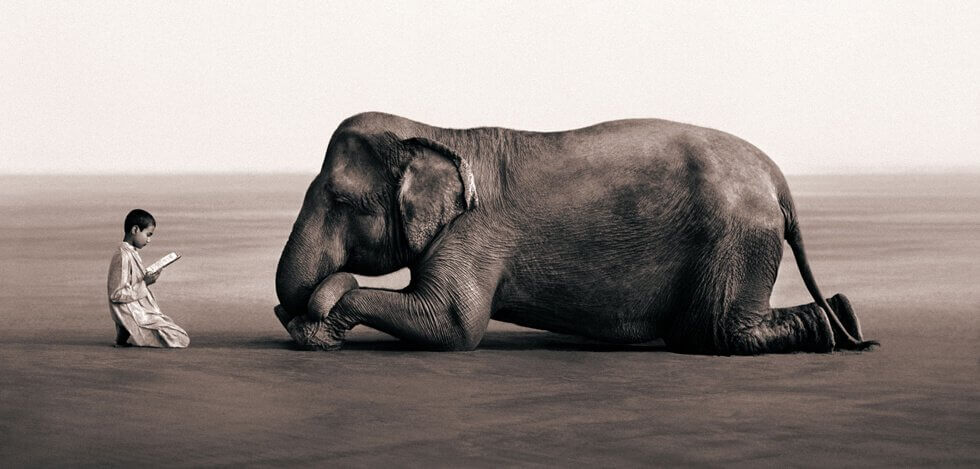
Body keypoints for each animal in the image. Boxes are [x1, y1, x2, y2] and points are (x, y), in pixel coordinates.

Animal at [274, 112, 877, 355]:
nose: (290, 307)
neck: (436, 131)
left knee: (717, 334)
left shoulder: (476, 232)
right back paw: (844, 317)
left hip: (737, 235)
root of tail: (777, 179)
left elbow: (451, 326)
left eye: (340, 200)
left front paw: (319, 321)